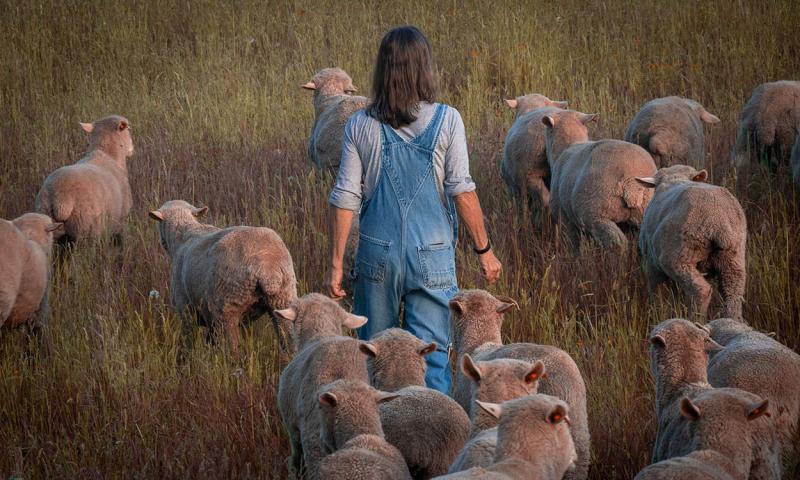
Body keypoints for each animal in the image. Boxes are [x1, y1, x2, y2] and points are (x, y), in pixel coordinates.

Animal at [36, 115, 134, 244]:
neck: (109, 155)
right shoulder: (121, 222)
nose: (132, 147)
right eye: (128, 129)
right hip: (86, 230)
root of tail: (61, 199)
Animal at [148, 200, 296, 355]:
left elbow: (188, 342)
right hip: (283, 299)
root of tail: (265, 267)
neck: (183, 236)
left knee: (232, 349)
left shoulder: (186, 310)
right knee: (288, 340)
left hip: (226, 307)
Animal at [541, 110, 657, 249]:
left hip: (597, 215)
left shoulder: (564, 218)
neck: (568, 146)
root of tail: (631, 182)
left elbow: (573, 246)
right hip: (644, 214)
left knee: (618, 243)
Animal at [636, 165, 747, 319]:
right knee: (733, 293)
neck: (675, 179)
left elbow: (658, 294)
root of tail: (717, 220)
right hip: (733, 257)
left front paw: (658, 314)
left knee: (702, 290)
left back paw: (696, 319)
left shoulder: (651, 264)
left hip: (679, 257)